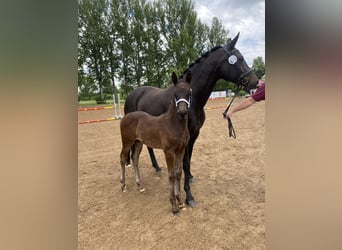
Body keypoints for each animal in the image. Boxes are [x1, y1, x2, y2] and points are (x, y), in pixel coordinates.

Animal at [119, 71, 192, 214]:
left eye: (189, 93)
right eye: (175, 94)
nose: (182, 112)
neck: (173, 124)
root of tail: (125, 117)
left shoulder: (180, 150)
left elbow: (178, 173)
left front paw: (180, 201)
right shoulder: (168, 151)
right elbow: (171, 175)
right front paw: (174, 206)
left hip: (138, 142)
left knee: (134, 158)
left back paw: (140, 185)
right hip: (127, 142)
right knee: (123, 158)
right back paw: (123, 185)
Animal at [124, 32, 258, 207]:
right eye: (239, 58)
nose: (255, 82)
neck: (192, 100)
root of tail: (131, 94)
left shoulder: (194, 135)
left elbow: (187, 163)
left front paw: (189, 180)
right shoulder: (184, 138)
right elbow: (185, 164)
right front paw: (188, 196)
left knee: (148, 147)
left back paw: (157, 168)